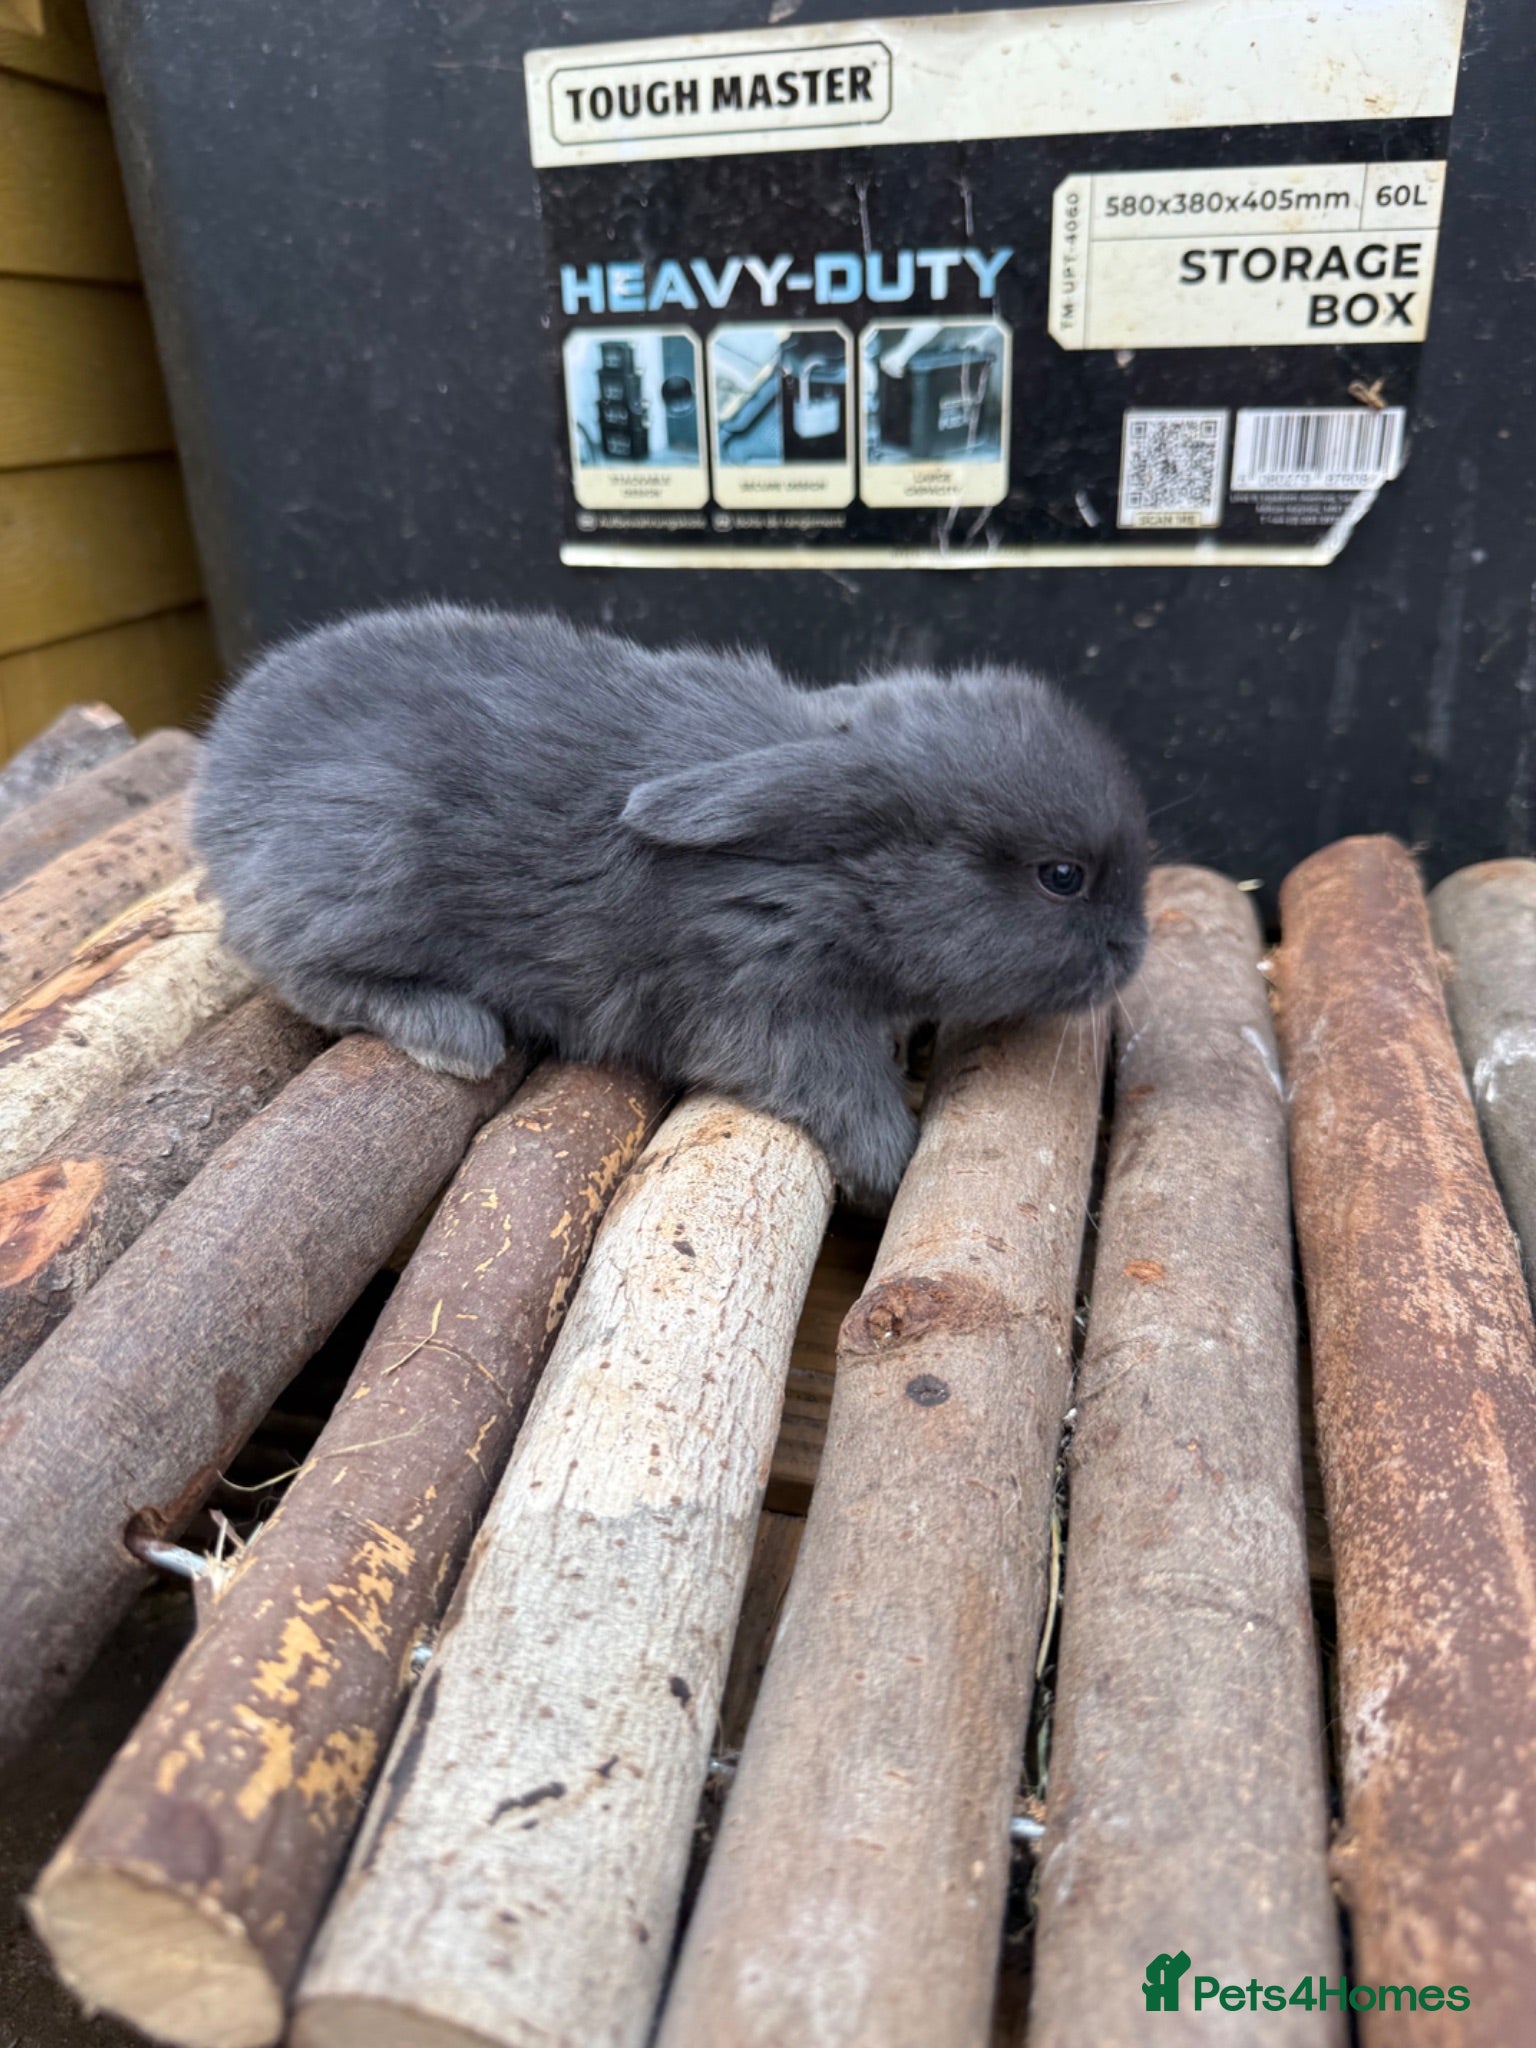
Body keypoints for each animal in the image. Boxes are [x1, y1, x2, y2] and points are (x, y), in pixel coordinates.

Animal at [193, 605, 1148, 1200]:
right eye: (1062, 877)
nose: (1133, 950)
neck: (834, 875)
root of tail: (220, 781)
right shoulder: (765, 1002)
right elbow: (839, 1086)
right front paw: (889, 1162)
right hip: (367, 863)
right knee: (297, 969)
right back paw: (454, 1033)